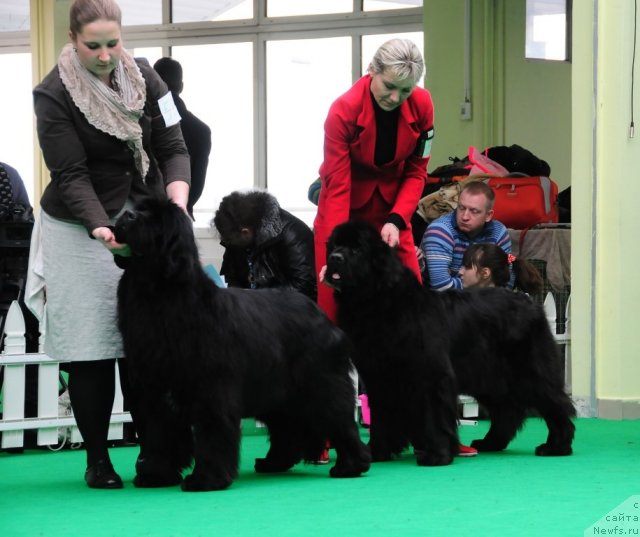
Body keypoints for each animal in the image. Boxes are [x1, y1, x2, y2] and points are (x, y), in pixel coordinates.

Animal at [112, 197, 368, 490]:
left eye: (154, 217)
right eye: (138, 209)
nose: (126, 216)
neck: (163, 295)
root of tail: (320, 315)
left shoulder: (211, 387)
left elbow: (211, 430)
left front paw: (205, 479)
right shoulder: (156, 386)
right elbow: (158, 431)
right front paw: (156, 474)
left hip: (319, 385)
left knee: (339, 420)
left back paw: (351, 465)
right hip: (279, 391)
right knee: (287, 427)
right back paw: (274, 463)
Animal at [324, 220, 576, 462]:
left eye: (356, 249)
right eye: (335, 245)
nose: (334, 258)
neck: (380, 302)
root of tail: (529, 302)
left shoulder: (431, 373)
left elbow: (434, 415)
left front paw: (437, 454)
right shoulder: (380, 377)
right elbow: (382, 417)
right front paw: (378, 451)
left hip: (529, 371)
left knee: (555, 403)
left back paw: (556, 446)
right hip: (491, 377)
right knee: (507, 410)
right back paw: (490, 443)